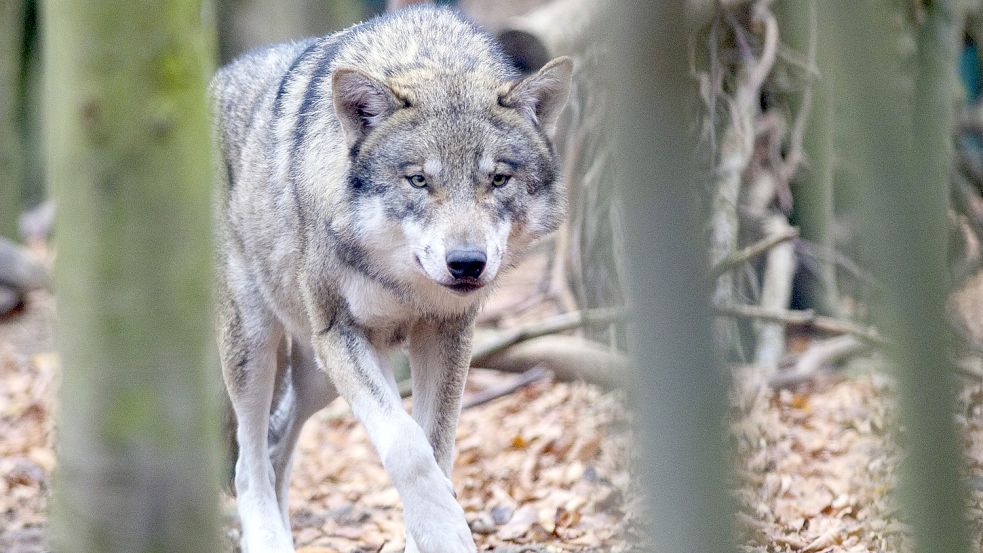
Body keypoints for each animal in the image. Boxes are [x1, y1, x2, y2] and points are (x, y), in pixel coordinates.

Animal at [211, 5, 572, 552]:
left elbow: (436, 447)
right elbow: (406, 445)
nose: (467, 263)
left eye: (498, 179)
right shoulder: (341, 334)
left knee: (277, 447)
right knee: (248, 462)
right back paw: (268, 538)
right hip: (258, 345)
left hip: (317, 377)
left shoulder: (446, 333)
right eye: (418, 180)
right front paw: (445, 532)